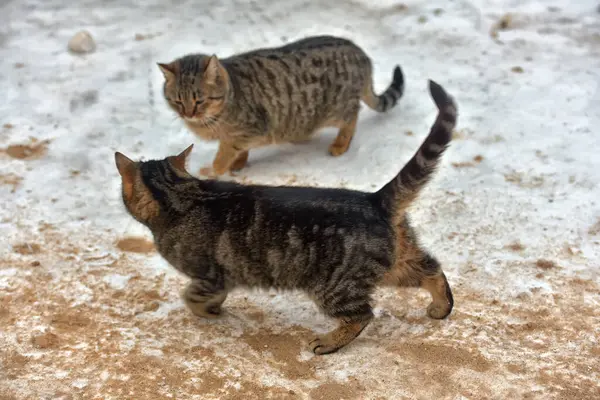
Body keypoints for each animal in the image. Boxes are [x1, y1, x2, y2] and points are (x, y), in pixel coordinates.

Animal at [115, 80, 458, 354]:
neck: (184, 196)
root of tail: (375, 199)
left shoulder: (210, 275)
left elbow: (192, 297)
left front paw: (209, 312)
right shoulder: (222, 278)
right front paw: (215, 308)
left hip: (335, 285)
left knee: (362, 315)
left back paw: (329, 343)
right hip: (396, 264)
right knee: (433, 270)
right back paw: (441, 307)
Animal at [157, 35, 406, 176]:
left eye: (199, 100)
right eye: (177, 101)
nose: (188, 114)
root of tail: (361, 53)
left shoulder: (249, 130)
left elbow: (224, 154)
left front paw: (214, 170)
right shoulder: (245, 135)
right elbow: (239, 151)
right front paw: (238, 164)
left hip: (337, 108)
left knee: (352, 116)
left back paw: (340, 144)